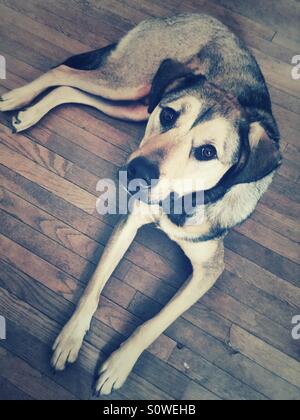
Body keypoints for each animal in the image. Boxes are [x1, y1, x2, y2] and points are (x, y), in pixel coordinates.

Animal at [0, 12, 282, 394]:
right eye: (169, 116)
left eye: (207, 152)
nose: (137, 170)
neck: (179, 201)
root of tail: (201, 15)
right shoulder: (130, 221)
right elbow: (94, 286)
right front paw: (71, 336)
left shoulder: (209, 271)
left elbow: (156, 322)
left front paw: (119, 364)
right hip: (131, 85)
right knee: (65, 72)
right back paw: (18, 99)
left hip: (137, 106)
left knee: (70, 89)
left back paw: (30, 112)